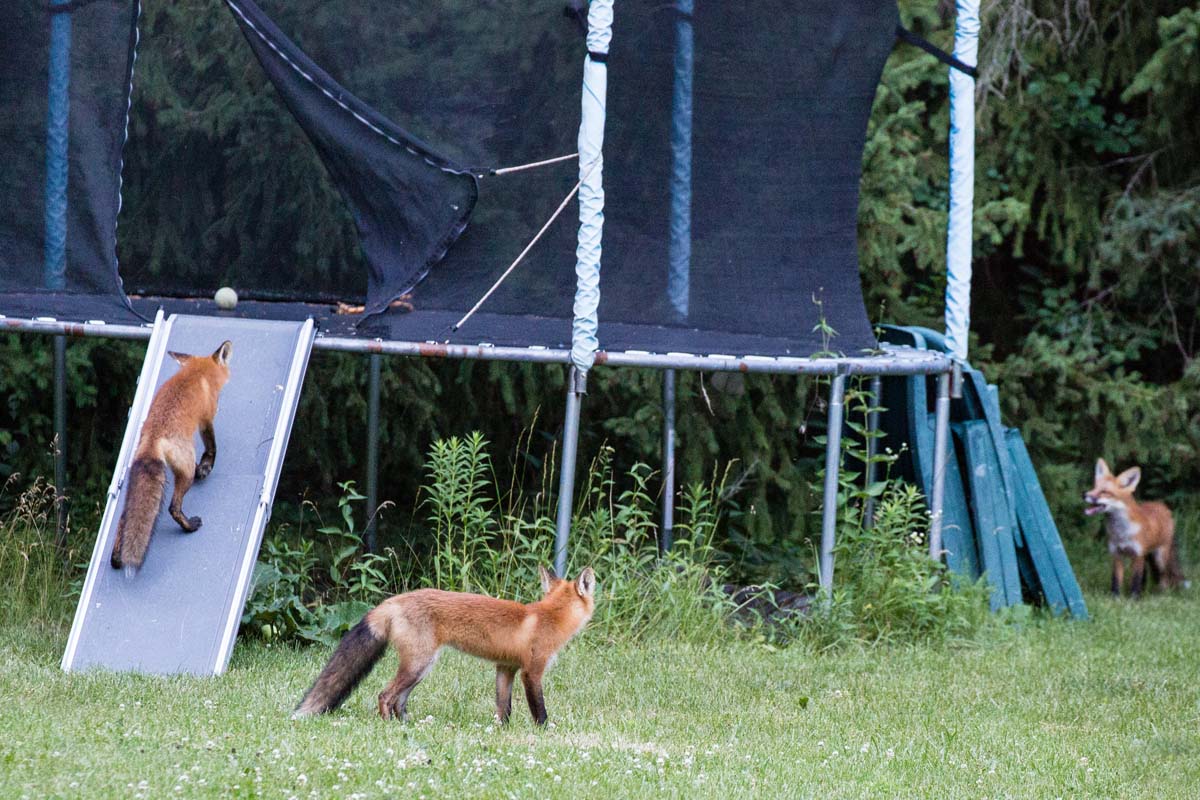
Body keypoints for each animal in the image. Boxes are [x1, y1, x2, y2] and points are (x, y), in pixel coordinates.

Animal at [109, 340, 232, 576]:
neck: (198, 371)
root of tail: (153, 438)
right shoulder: (206, 420)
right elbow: (212, 447)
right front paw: (207, 466)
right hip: (185, 472)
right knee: (173, 507)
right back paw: (190, 526)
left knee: (123, 520)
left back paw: (116, 559)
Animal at [293, 566, 596, 726]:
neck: (549, 616)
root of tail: (392, 601)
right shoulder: (531, 672)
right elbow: (539, 709)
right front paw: (545, 730)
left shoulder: (505, 668)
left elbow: (503, 707)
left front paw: (501, 730)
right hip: (418, 664)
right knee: (384, 695)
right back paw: (389, 725)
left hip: (421, 668)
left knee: (399, 699)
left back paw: (407, 724)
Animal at [1084, 458, 1186, 598]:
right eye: (1094, 488)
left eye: (1105, 492)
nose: (1084, 494)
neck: (1122, 533)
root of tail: (1162, 506)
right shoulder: (1117, 555)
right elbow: (1116, 580)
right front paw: (1115, 598)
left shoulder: (1137, 554)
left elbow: (1135, 580)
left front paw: (1134, 599)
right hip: (1146, 557)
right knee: (1146, 575)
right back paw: (1144, 590)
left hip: (1160, 558)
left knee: (1163, 576)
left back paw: (1162, 594)